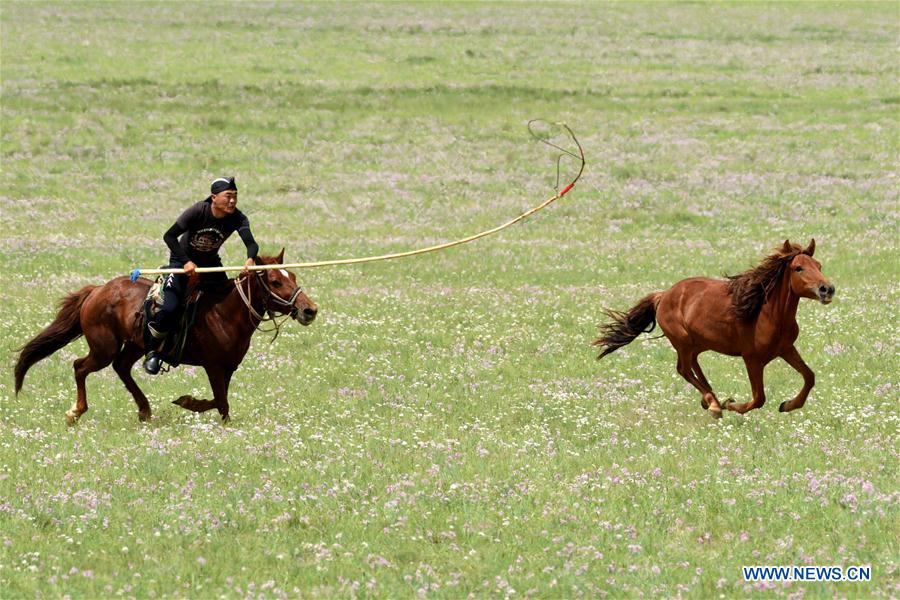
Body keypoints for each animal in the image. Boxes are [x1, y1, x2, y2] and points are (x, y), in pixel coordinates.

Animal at [13, 251, 316, 424]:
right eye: (275, 281)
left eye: (292, 275)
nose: (309, 310)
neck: (225, 312)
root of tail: (97, 291)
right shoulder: (214, 366)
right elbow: (221, 402)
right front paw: (191, 404)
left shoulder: (227, 368)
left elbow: (219, 400)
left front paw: (188, 403)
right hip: (104, 348)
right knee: (80, 366)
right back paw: (76, 412)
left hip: (135, 346)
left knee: (121, 368)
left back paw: (144, 410)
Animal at [596, 239, 832, 418]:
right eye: (798, 268)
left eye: (819, 265)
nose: (827, 289)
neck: (767, 314)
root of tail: (663, 295)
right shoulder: (752, 359)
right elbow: (759, 398)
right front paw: (731, 405)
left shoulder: (786, 349)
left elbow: (809, 377)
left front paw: (787, 405)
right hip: (683, 341)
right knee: (683, 369)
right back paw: (715, 404)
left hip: (698, 343)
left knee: (693, 365)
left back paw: (710, 399)